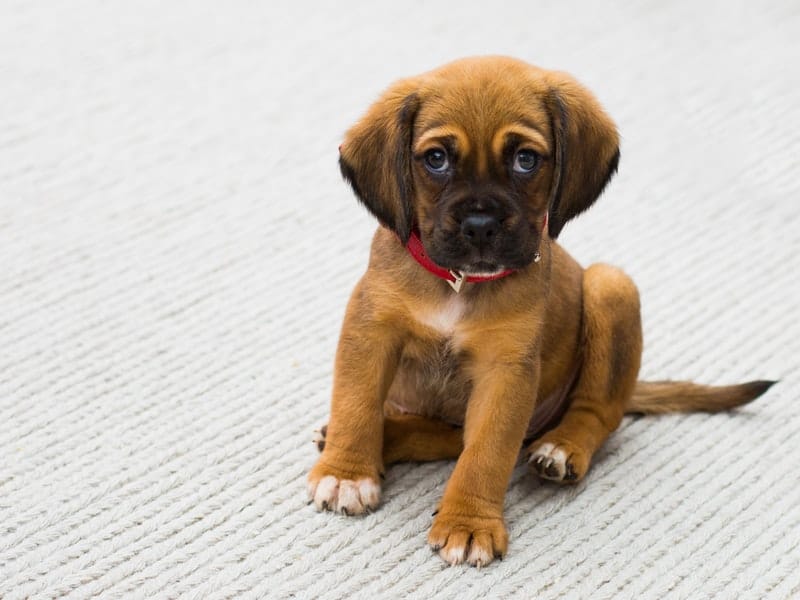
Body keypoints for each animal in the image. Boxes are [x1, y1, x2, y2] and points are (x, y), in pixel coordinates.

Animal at [306, 56, 776, 568]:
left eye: (525, 159)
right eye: (436, 159)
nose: (480, 226)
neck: (459, 284)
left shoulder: (505, 372)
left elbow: (486, 453)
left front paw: (469, 523)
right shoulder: (370, 331)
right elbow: (356, 404)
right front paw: (347, 472)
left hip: (611, 286)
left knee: (596, 413)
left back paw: (563, 448)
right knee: (444, 436)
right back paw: (382, 437)